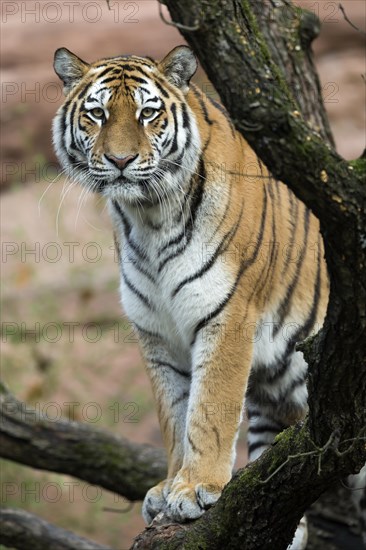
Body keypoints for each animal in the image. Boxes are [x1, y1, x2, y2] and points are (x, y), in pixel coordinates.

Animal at [52, 45, 334, 548]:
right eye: (97, 114)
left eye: (147, 113)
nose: (120, 160)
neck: (147, 216)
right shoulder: (156, 332)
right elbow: (174, 414)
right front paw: (169, 486)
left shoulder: (227, 314)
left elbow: (209, 409)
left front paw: (198, 487)